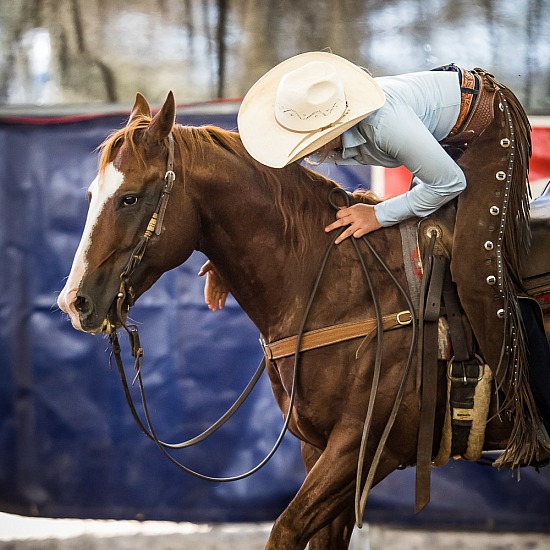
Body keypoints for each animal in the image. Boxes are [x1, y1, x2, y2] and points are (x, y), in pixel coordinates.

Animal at [57, 91, 532, 550]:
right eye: (91, 196)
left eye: (130, 197)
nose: (74, 302)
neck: (339, 283)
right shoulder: (318, 447)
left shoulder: (366, 445)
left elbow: (286, 529)